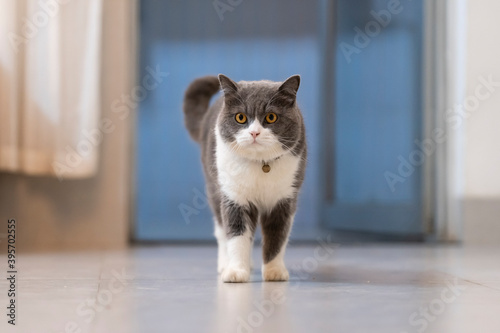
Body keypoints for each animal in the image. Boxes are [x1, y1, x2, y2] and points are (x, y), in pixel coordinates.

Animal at [184, 74, 306, 282]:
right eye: (240, 117)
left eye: (271, 117)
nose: (254, 132)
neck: (261, 165)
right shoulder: (234, 197)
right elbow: (237, 235)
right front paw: (236, 272)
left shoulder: (284, 198)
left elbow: (277, 235)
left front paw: (274, 271)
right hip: (214, 187)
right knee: (221, 231)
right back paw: (226, 264)